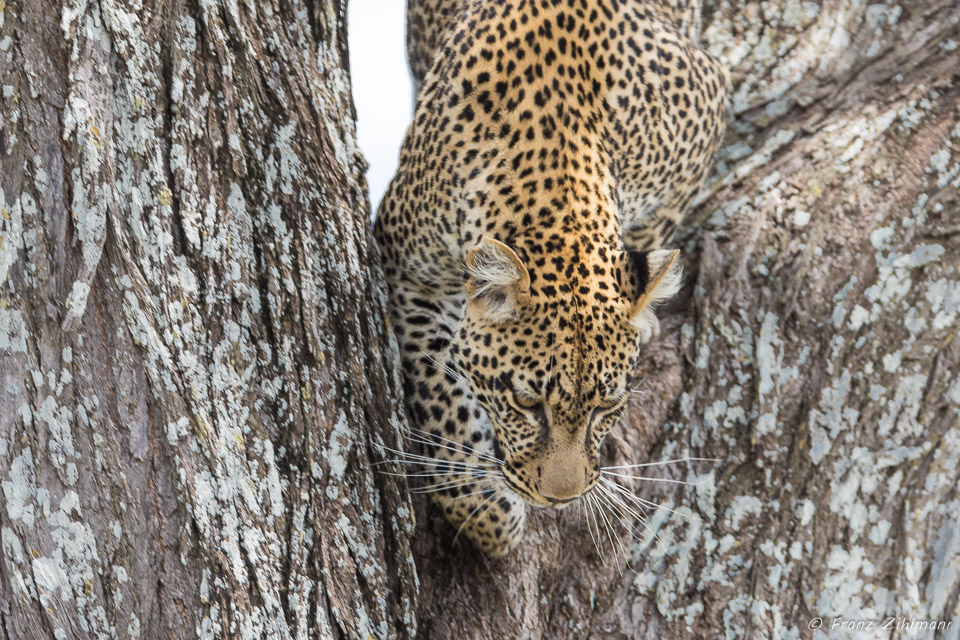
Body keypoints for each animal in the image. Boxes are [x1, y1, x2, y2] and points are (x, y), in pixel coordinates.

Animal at [372, 0, 724, 556]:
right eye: (525, 403)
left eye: (607, 405)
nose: (560, 498)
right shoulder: (408, 270)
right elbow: (440, 390)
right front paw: (487, 512)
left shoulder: (706, 106)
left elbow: (656, 226)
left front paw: (644, 311)